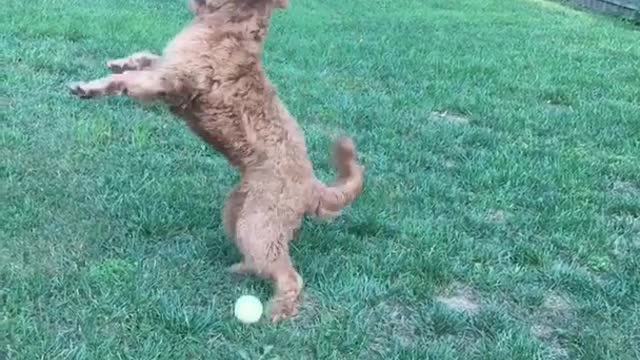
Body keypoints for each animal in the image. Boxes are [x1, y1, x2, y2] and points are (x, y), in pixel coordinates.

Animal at [69, 0, 364, 322]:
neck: (229, 24)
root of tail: (312, 185)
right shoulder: (167, 66)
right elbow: (146, 57)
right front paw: (121, 62)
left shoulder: (169, 79)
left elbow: (128, 80)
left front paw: (89, 86)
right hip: (237, 211)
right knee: (262, 263)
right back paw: (240, 270)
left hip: (258, 225)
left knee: (289, 277)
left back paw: (276, 310)